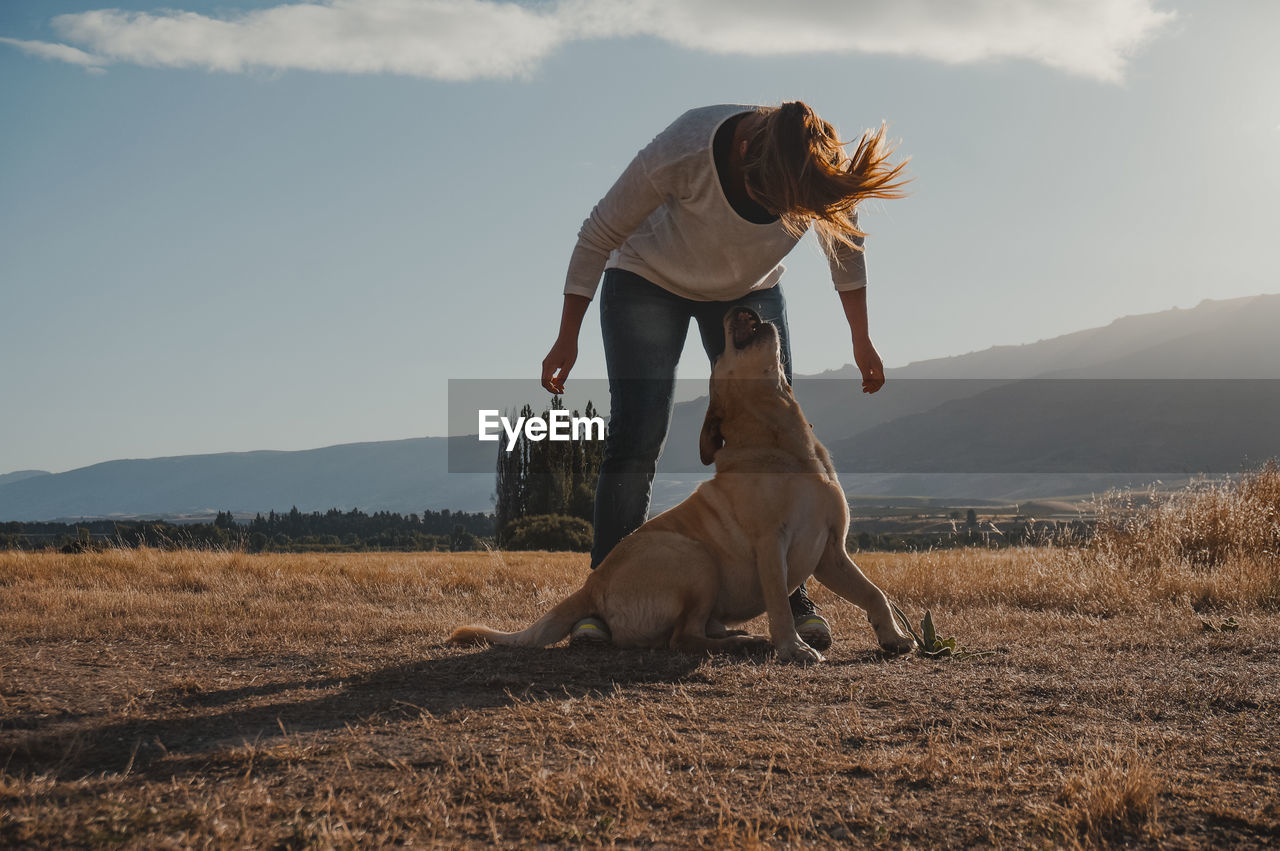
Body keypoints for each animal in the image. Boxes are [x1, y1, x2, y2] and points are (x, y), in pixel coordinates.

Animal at [453, 307, 921, 665]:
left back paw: (736, 637)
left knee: (692, 632)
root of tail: (591, 586)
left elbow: (875, 594)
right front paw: (792, 648)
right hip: (695, 560)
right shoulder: (771, 544)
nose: (736, 307)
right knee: (682, 637)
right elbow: (779, 605)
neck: (781, 443)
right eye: (716, 353)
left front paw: (894, 637)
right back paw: (744, 641)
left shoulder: (830, 553)